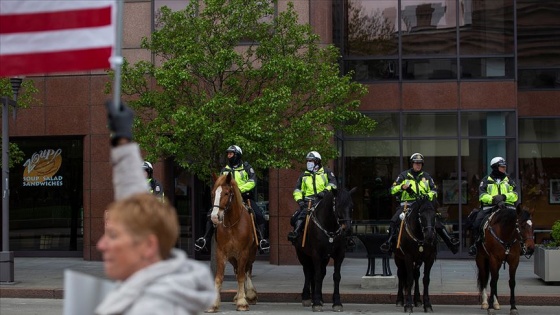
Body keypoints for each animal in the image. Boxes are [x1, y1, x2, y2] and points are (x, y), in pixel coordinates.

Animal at [206, 173, 258, 314]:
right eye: (213, 193)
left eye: (226, 193)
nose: (214, 217)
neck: (231, 225)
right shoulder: (221, 252)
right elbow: (219, 278)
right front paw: (213, 304)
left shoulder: (244, 252)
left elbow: (241, 276)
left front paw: (242, 302)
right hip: (232, 257)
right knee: (237, 271)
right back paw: (239, 295)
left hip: (250, 254)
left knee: (247, 271)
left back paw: (249, 294)